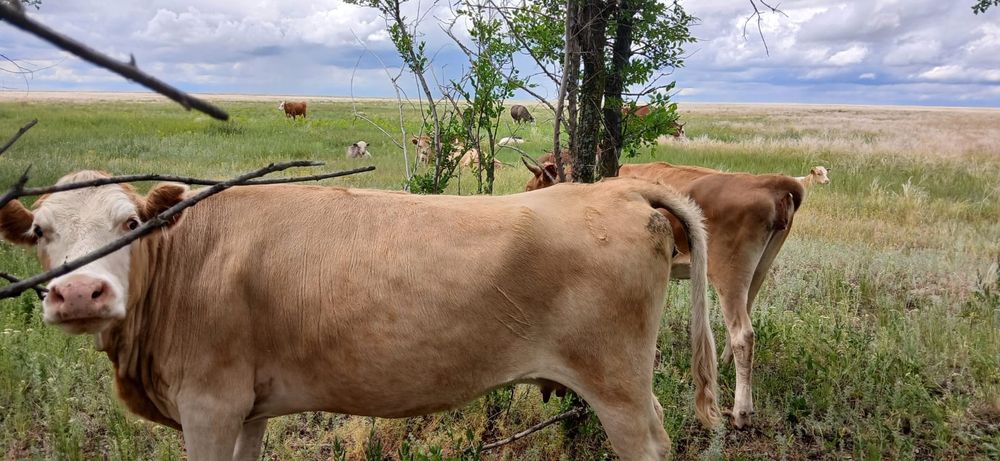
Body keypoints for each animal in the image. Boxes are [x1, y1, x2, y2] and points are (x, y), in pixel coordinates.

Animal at [0, 170, 719, 460]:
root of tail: (619, 188)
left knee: (648, 442)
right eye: (39, 230)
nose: (80, 294)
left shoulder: (208, 401)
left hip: (616, 383)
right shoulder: (247, 407)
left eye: (130, 224)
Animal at [523, 154, 805, 429]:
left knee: (742, 334)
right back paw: (725, 365)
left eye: (530, 187)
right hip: (758, 272)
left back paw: (741, 412)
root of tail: (766, 181)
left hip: (730, 274)